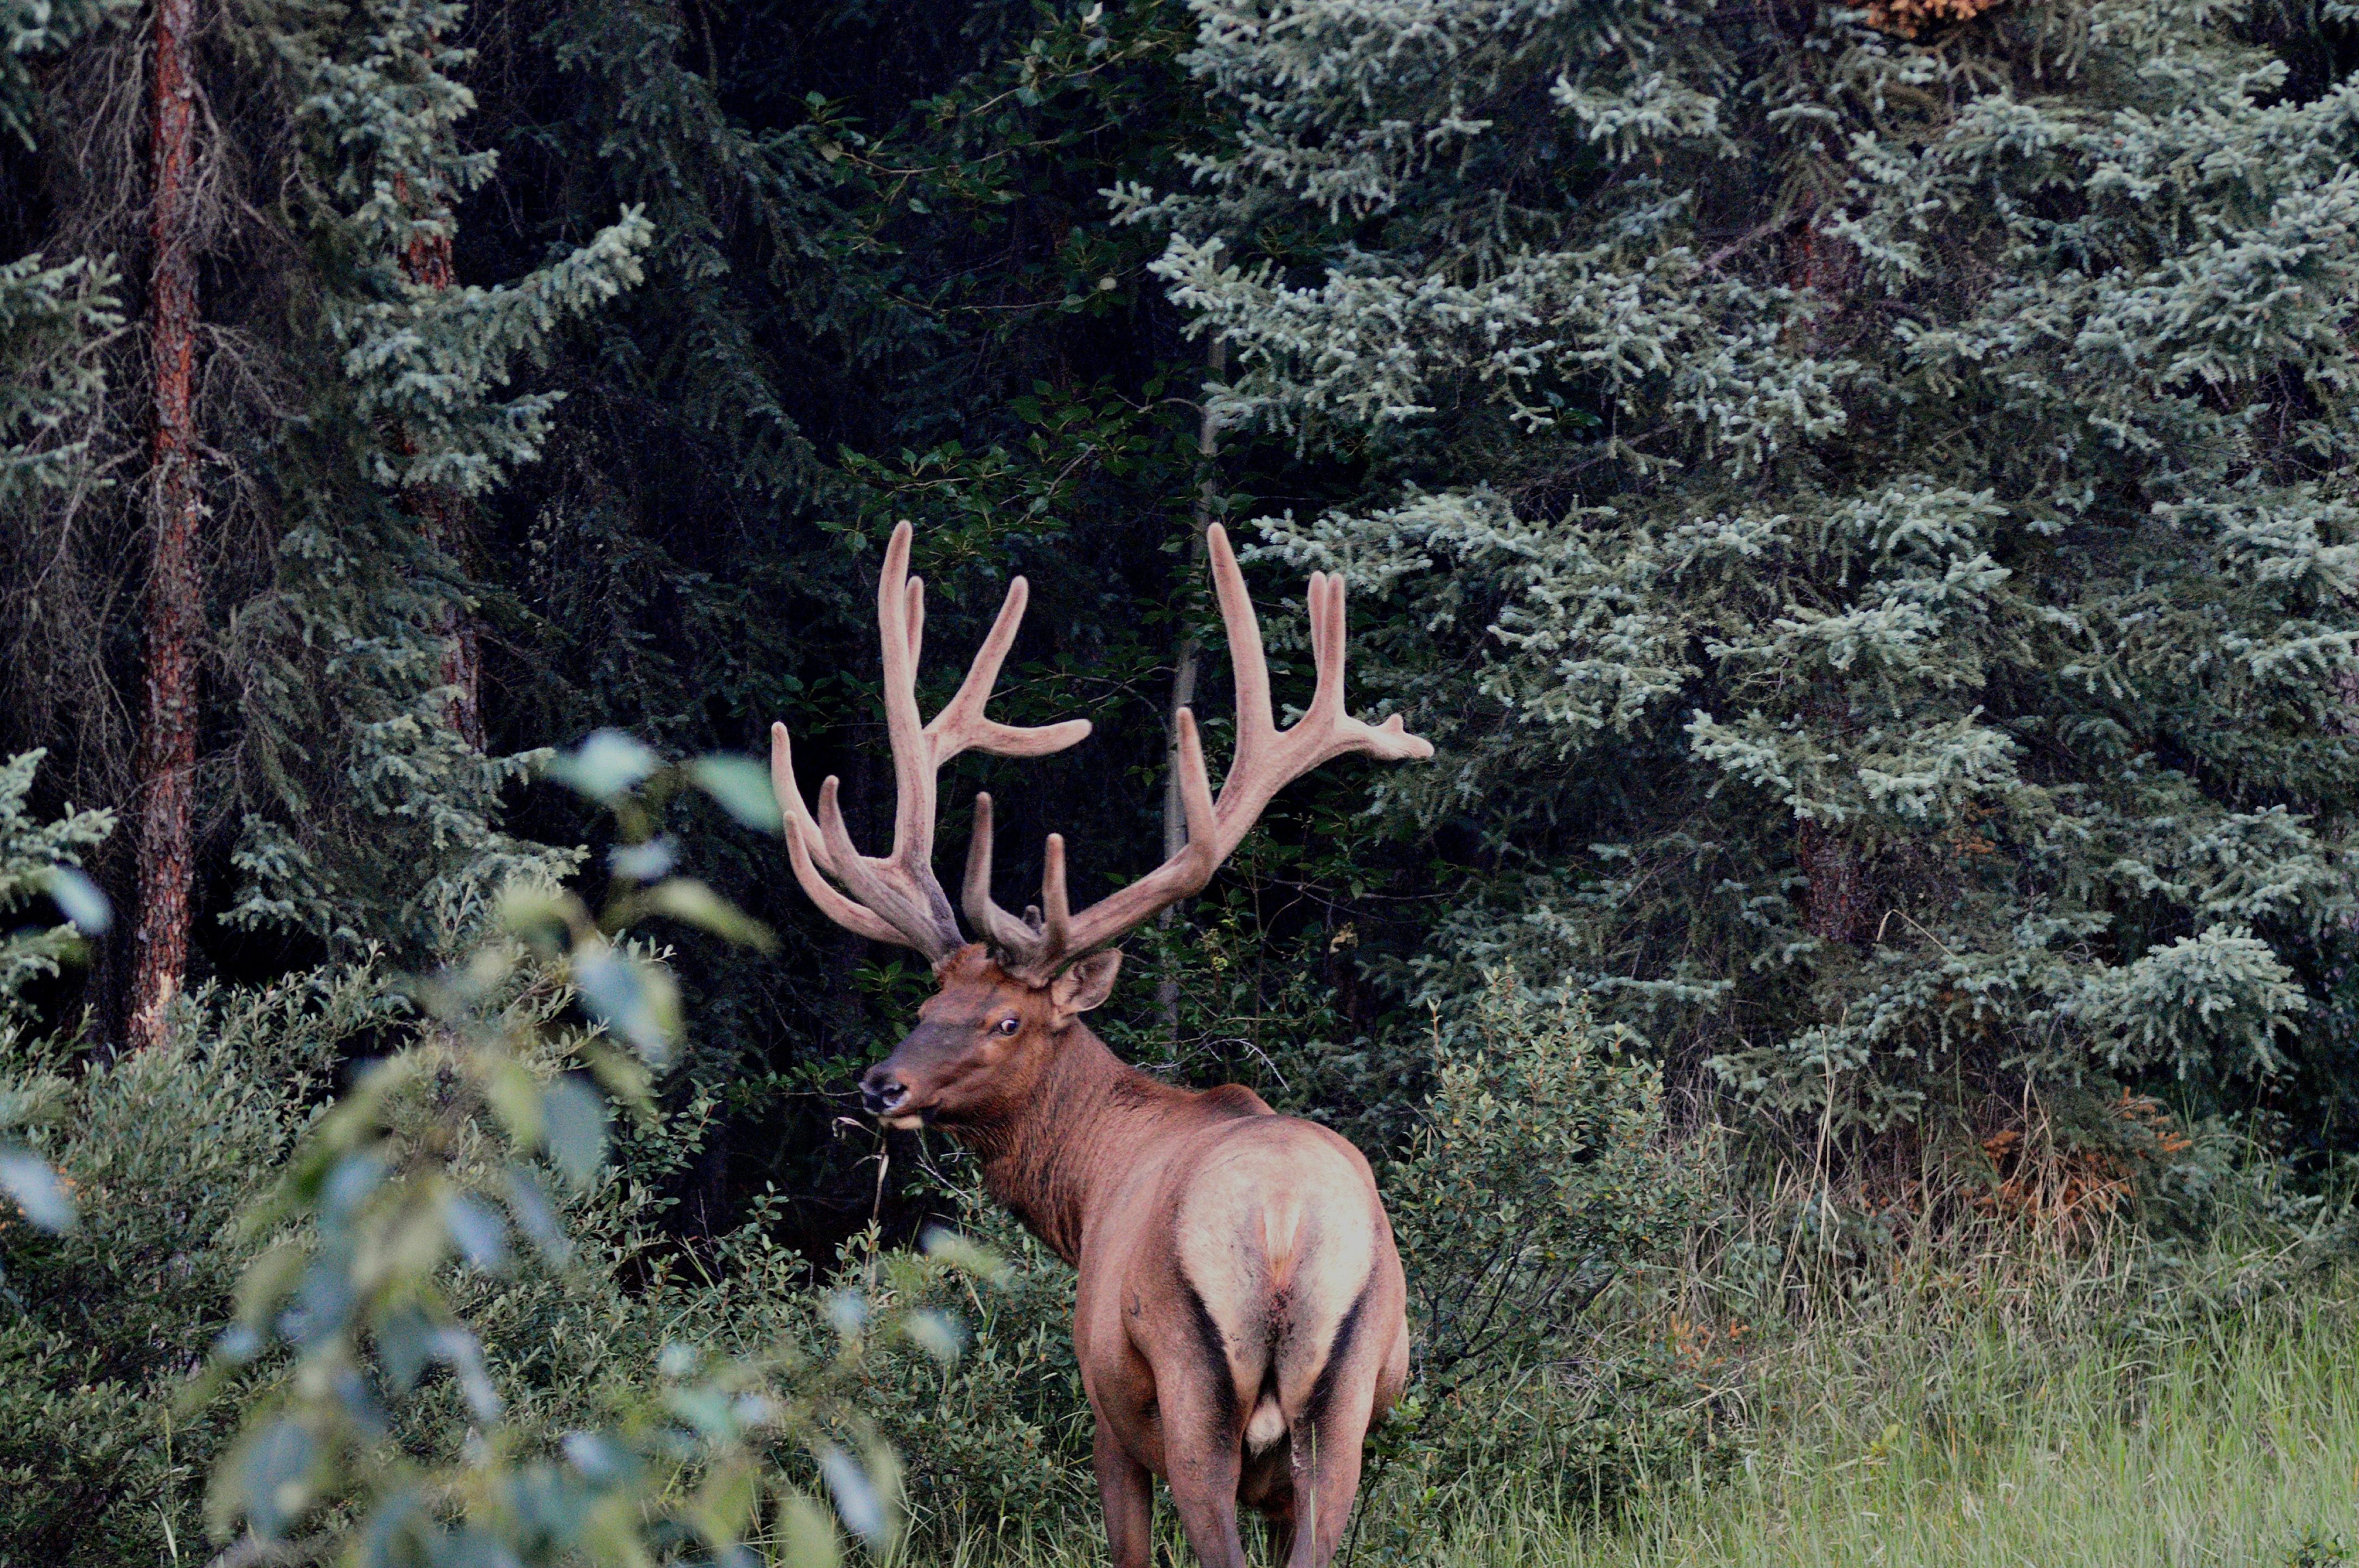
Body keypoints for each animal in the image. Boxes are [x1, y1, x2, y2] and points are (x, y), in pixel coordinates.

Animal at [770, 520, 1433, 1568]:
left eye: (1006, 1020)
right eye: (931, 995)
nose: (881, 1086)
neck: (1083, 1193)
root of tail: (1284, 1228)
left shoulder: (1108, 1412)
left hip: (1190, 1392)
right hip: (1346, 1406)